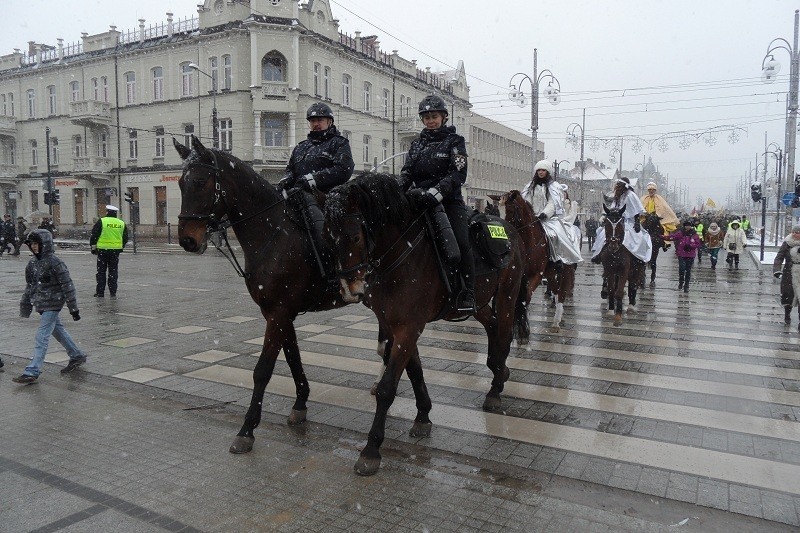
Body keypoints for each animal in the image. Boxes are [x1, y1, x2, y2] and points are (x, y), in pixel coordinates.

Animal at [175, 136, 378, 454]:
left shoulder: (279, 313)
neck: (273, 233)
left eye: (199, 182)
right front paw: (300, 403)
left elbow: (263, 370)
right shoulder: (280, 313)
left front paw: (246, 429)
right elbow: (293, 356)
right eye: (180, 183)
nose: (187, 240)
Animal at [322, 172, 528, 476]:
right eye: (327, 236)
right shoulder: (394, 325)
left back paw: (495, 389)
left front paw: (371, 450)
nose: (350, 289)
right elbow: (414, 371)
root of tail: (510, 230)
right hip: (479, 303)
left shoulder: (409, 327)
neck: (402, 252)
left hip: (507, 295)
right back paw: (499, 373)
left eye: (355, 235)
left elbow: (388, 387)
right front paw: (422, 416)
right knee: (491, 327)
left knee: (503, 333)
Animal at [500, 191, 576, 332]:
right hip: (550, 273)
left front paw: (523, 324)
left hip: (563, 272)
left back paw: (556, 321)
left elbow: (526, 297)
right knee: (556, 290)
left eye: (510, 210)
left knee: (561, 292)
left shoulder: (536, 275)